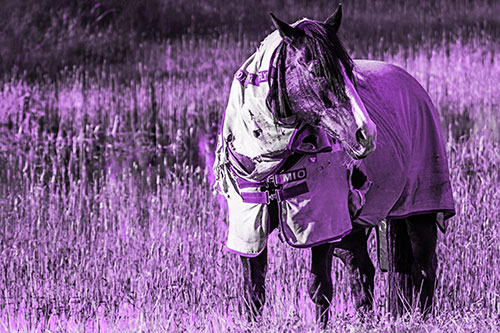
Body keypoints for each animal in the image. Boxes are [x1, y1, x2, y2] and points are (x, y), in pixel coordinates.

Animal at [213, 4, 456, 326]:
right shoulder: (251, 226)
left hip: (419, 212)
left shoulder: (323, 226)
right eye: (317, 70)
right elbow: (253, 292)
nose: (366, 134)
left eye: (350, 70)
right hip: (353, 229)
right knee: (362, 270)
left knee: (425, 267)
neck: (274, 162)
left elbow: (319, 288)